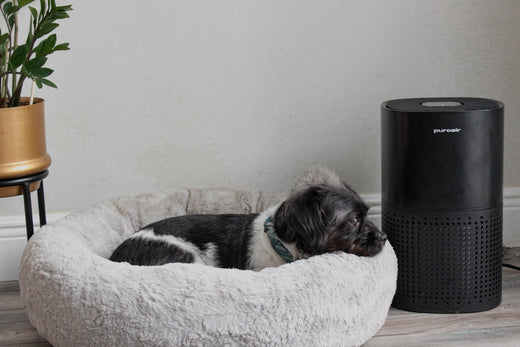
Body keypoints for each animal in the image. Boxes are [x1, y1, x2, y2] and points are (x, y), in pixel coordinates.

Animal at [109, 167, 386, 272]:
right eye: (354, 221)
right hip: (184, 256)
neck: (282, 245)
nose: (384, 237)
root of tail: (116, 257)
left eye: (367, 213)